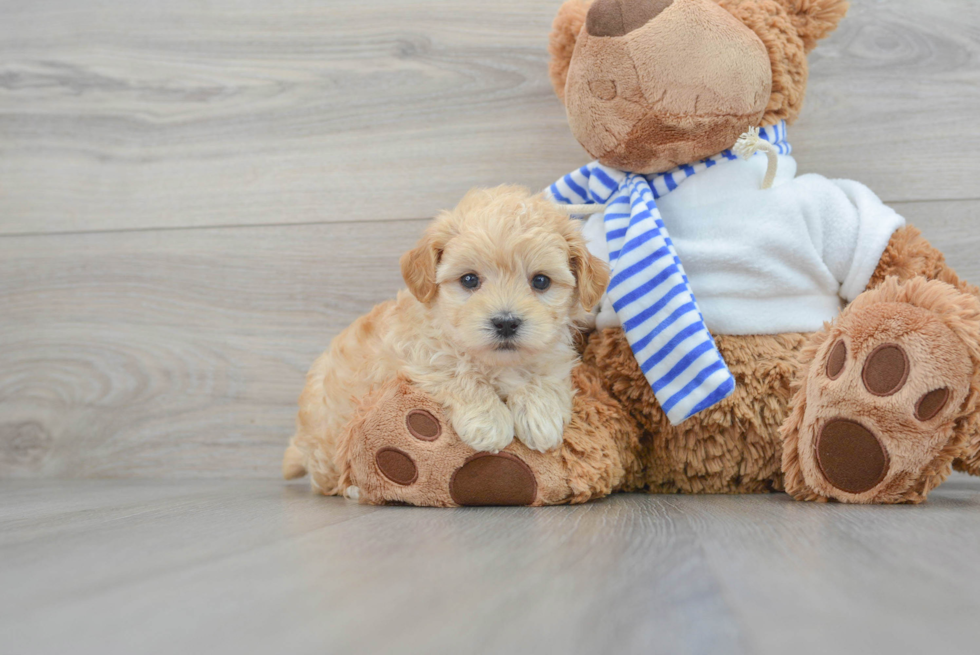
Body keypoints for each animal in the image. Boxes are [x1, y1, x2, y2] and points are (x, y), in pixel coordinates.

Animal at [280, 184, 608, 492]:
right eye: (469, 280)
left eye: (540, 281)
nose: (505, 323)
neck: (498, 362)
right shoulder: (416, 353)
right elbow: (457, 370)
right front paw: (489, 421)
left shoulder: (553, 352)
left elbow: (546, 372)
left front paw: (541, 415)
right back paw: (352, 488)